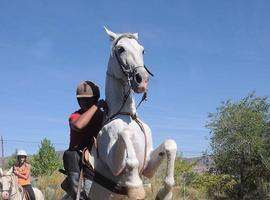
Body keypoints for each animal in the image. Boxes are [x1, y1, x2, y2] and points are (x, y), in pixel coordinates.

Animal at [86, 27, 178, 199]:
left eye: (142, 50)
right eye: (121, 49)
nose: (142, 80)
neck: (126, 114)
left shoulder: (148, 166)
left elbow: (170, 144)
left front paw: (165, 192)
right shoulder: (114, 165)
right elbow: (125, 134)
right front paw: (135, 185)